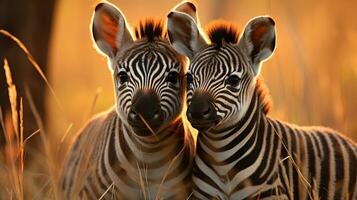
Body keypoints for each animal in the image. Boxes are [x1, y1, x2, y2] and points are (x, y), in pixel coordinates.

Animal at [166, 1, 356, 200]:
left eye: (233, 80)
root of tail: (345, 140)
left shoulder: (272, 193)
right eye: (189, 78)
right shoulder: (203, 195)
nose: (197, 111)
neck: (222, 162)